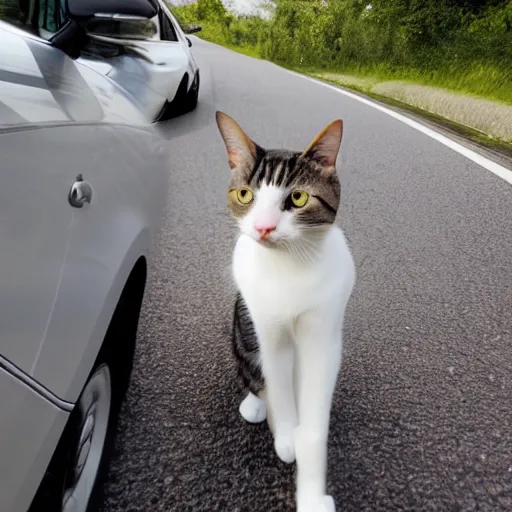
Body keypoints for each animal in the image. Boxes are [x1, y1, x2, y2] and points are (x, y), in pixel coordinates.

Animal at [216, 111, 356, 512]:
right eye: (245, 194)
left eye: (297, 197)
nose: (263, 227)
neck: (290, 265)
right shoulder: (266, 328)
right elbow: (276, 388)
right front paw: (286, 439)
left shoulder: (323, 335)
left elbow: (314, 426)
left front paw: (311, 495)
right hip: (242, 326)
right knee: (256, 377)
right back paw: (257, 406)